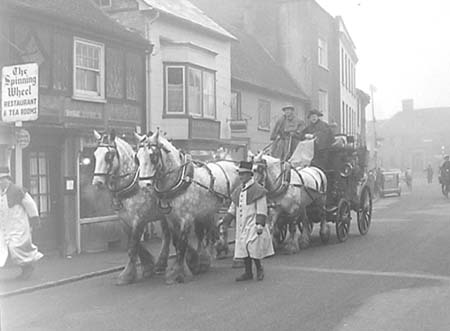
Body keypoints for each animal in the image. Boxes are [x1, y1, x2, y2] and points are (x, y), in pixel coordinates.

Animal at [91, 130, 171, 286]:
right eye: (95, 154)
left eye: (108, 156)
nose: (97, 182)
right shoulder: (124, 220)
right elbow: (134, 244)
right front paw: (147, 267)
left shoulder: (138, 219)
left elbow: (133, 245)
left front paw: (127, 275)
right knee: (166, 235)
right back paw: (160, 264)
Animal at [136, 131, 241, 284]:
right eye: (137, 157)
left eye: (153, 156)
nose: (144, 185)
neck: (179, 180)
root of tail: (232, 164)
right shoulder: (171, 218)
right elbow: (176, 241)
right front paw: (196, 263)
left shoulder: (186, 218)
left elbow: (182, 243)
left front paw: (177, 273)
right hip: (209, 210)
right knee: (213, 229)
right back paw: (213, 253)